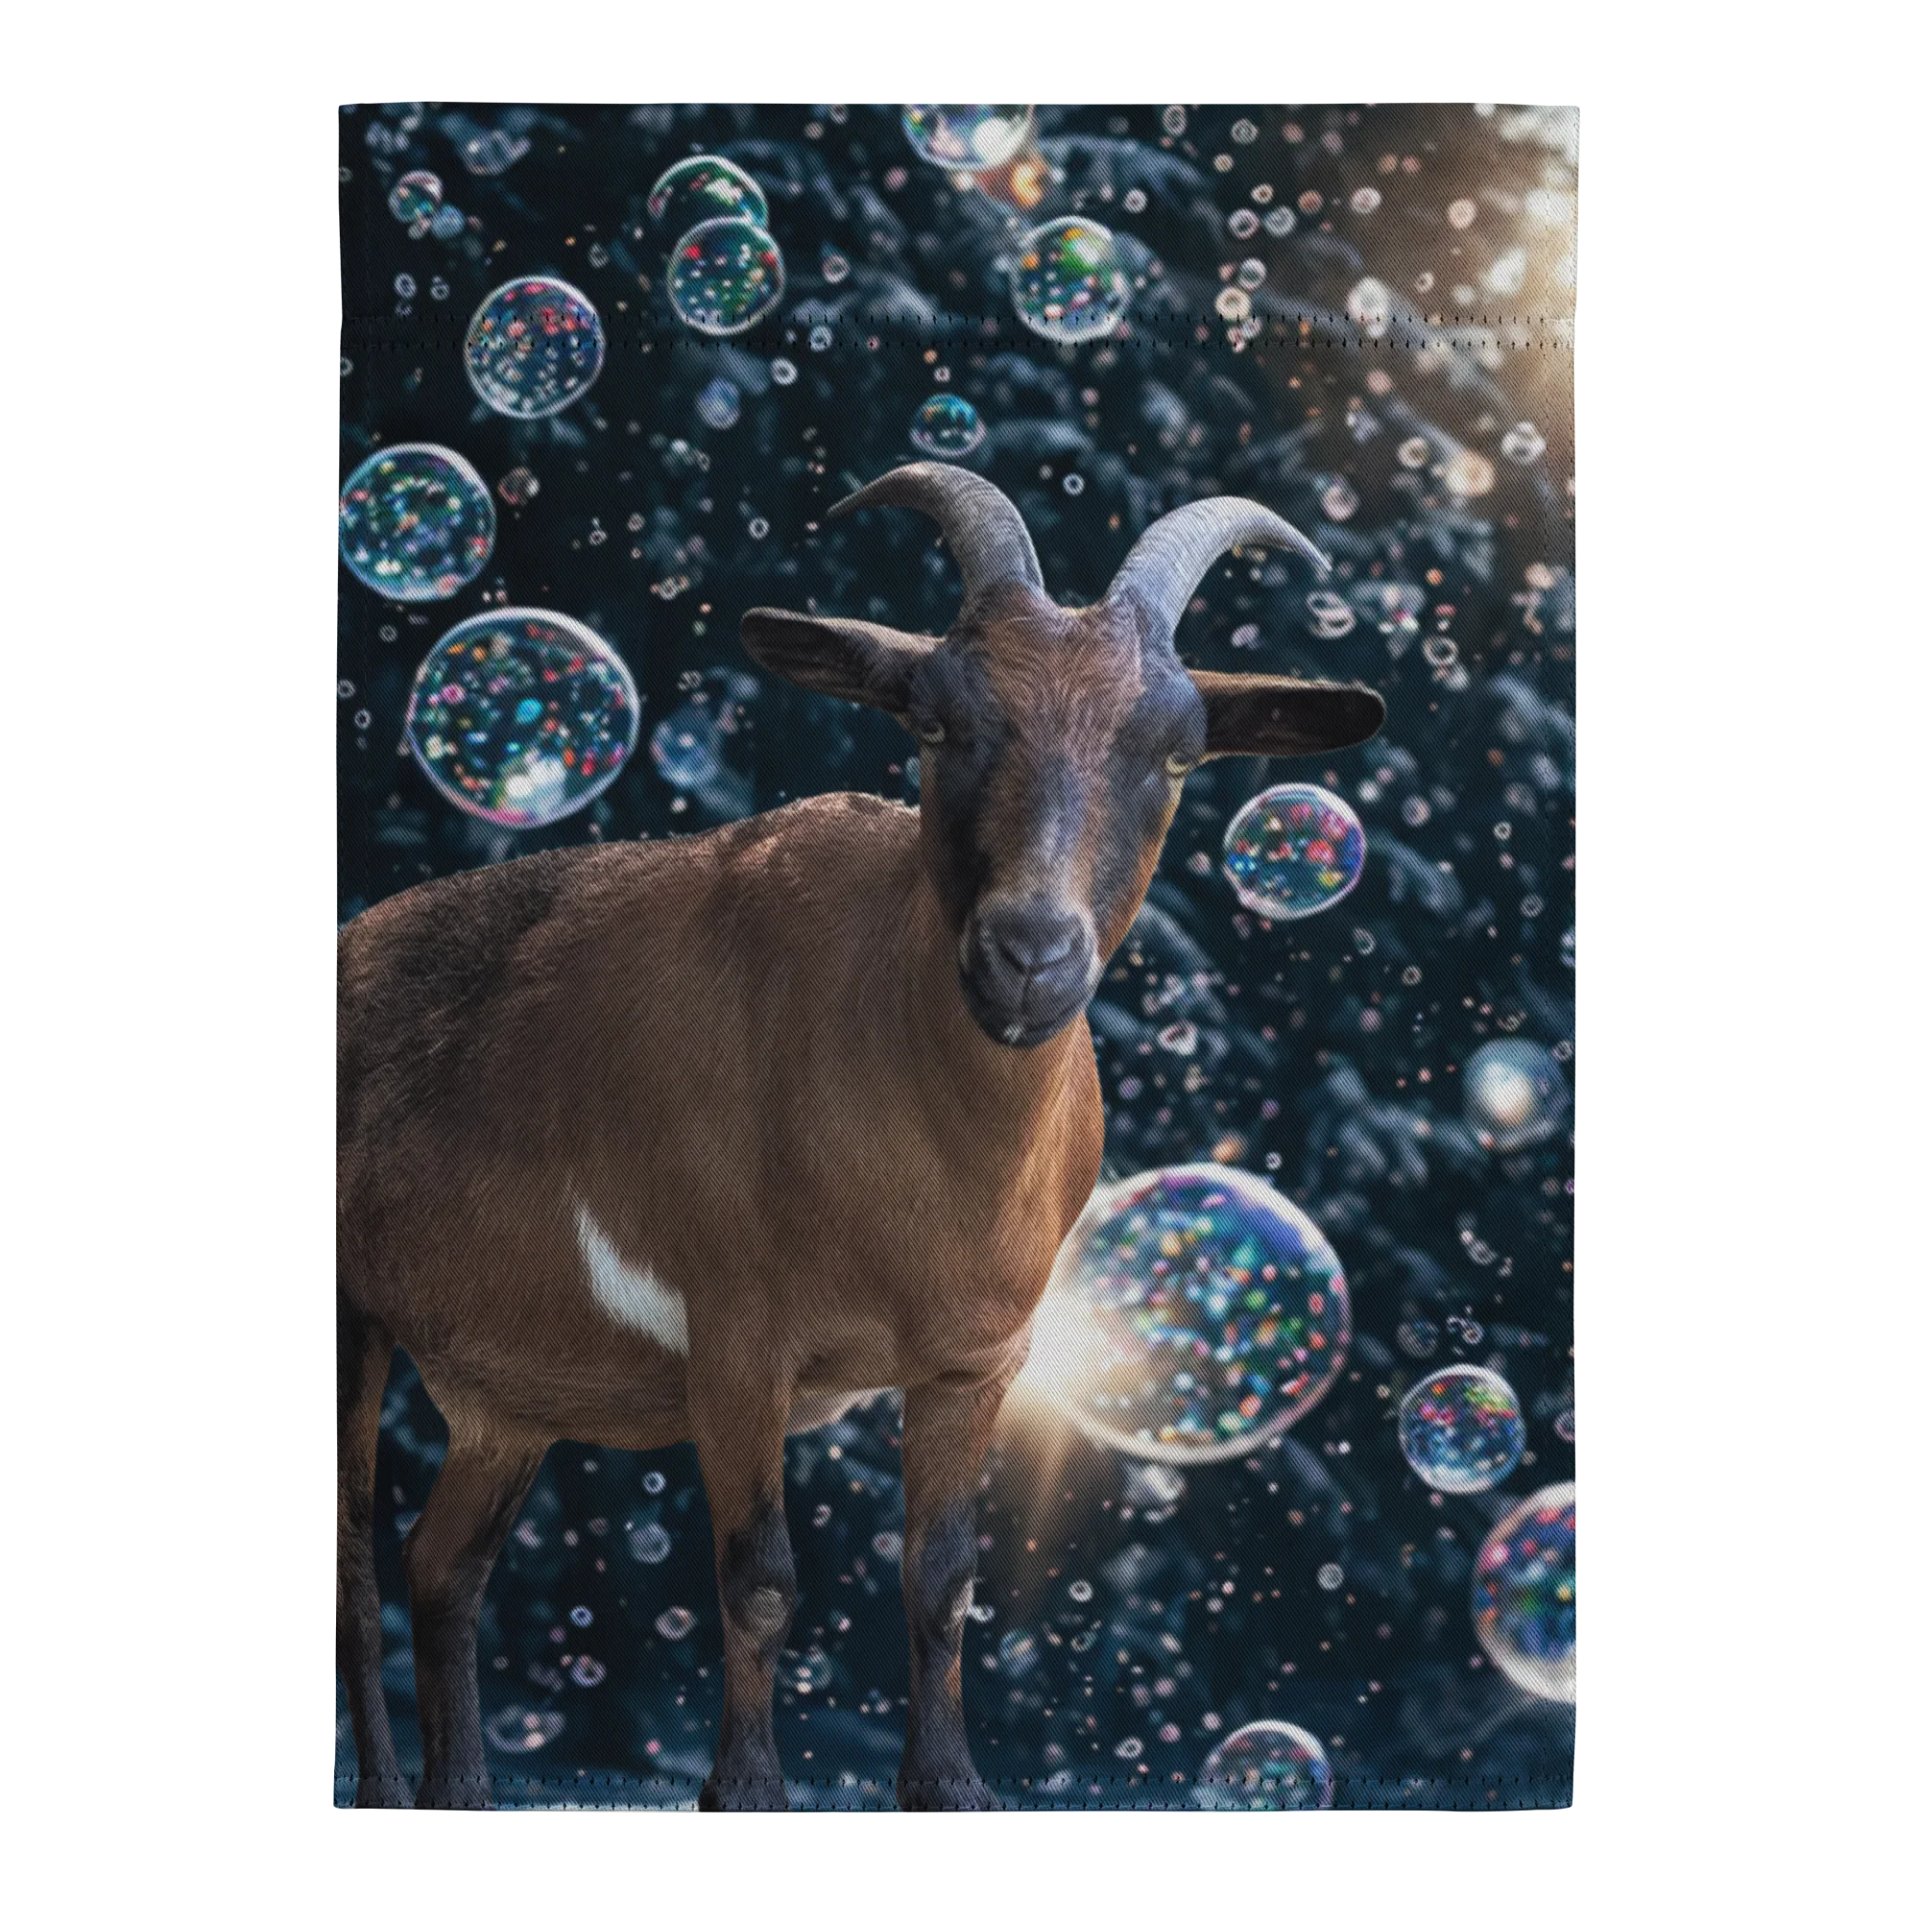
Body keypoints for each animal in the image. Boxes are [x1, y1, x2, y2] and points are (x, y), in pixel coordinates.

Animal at [337, 463, 1385, 1811]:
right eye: (933, 722)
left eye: (1180, 751)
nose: (1029, 954)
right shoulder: (736, 1341)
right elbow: (759, 1579)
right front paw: (744, 1796)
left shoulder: (977, 1362)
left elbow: (941, 1583)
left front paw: (951, 1789)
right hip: (356, 1319)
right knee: (356, 1568)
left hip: (507, 1395)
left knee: (440, 1566)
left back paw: (459, 1791)